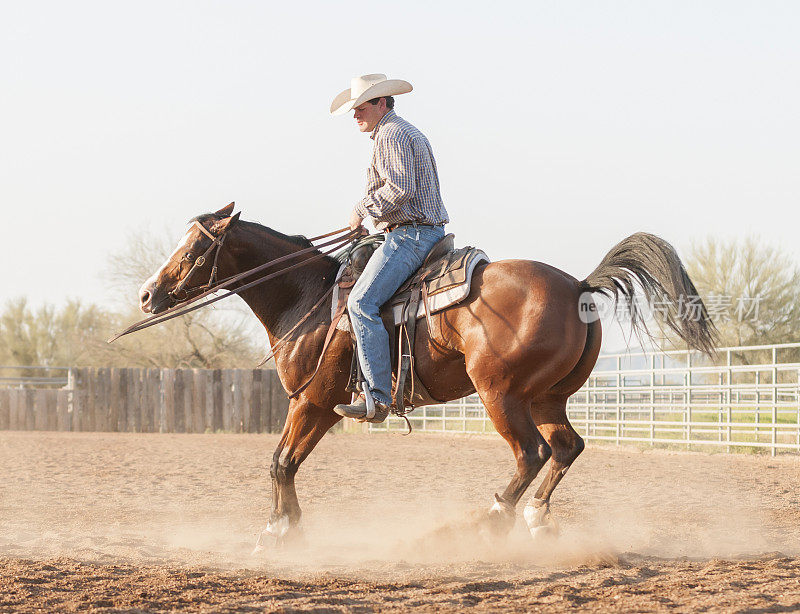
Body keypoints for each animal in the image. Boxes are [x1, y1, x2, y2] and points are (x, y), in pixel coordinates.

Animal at [134, 203, 716, 548]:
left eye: (192, 249)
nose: (146, 295)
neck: (309, 298)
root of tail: (578, 286)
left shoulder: (314, 401)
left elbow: (280, 462)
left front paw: (278, 531)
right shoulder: (319, 406)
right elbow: (284, 463)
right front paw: (283, 527)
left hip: (501, 394)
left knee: (531, 453)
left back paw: (488, 520)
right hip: (548, 398)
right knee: (566, 447)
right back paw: (534, 520)